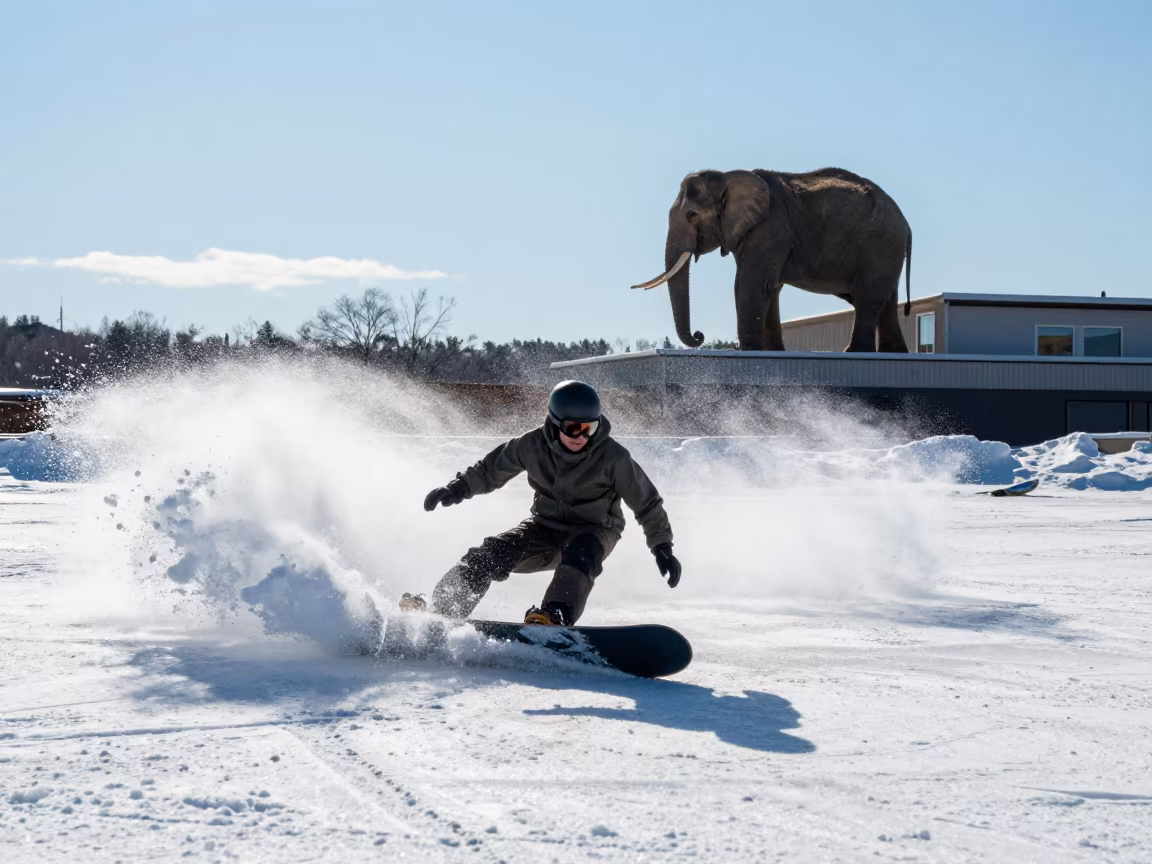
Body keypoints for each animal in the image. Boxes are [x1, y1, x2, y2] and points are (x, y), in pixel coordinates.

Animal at [632, 168, 913, 352]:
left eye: (692, 215)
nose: (700, 335)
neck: (726, 176)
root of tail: (906, 224)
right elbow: (771, 288)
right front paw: (773, 352)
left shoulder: (770, 229)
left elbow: (750, 284)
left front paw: (750, 352)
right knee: (886, 302)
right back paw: (894, 353)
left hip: (880, 246)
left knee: (868, 299)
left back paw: (854, 353)